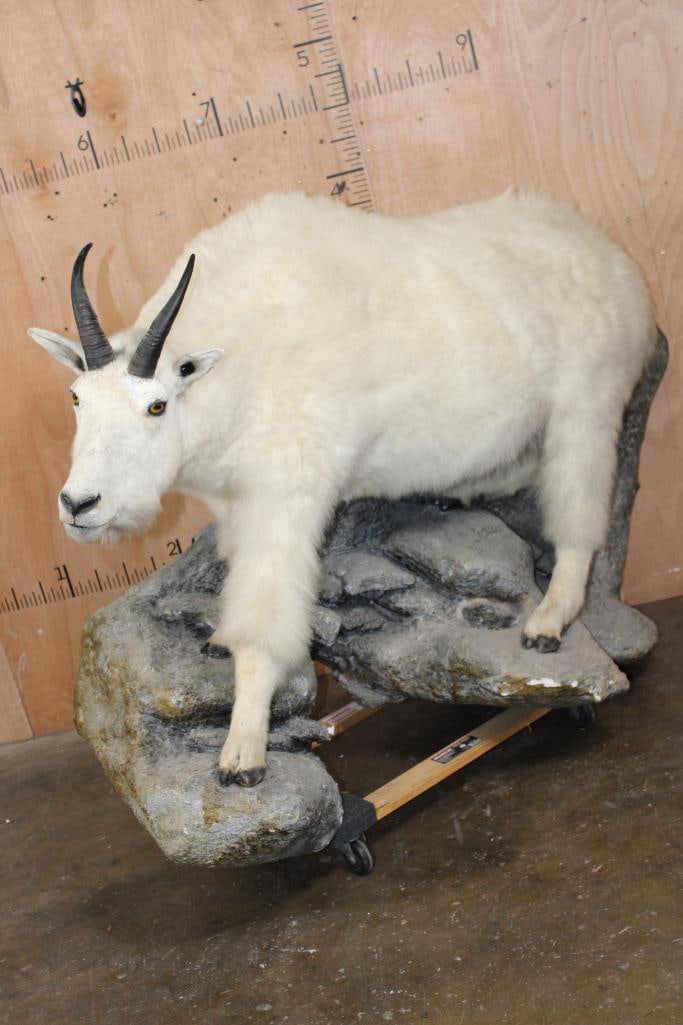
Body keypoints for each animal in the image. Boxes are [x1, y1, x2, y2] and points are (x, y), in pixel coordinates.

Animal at [29, 190, 655, 786]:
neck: (238, 365)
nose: (79, 504)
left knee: (580, 517)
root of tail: (613, 261)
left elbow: (266, 621)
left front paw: (243, 752)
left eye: (156, 405)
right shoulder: (237, 506)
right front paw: (221, 639)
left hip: (587, 408)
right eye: (77, 396)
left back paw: (548, 622)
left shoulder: (286, 502)